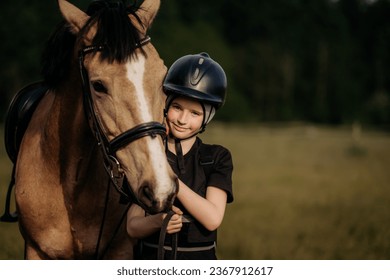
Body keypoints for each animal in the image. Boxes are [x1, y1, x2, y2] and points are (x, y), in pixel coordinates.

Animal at [11, 0, 178, 260]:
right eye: (98, 86)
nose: (160, 189)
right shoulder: (36, 251)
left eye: (162, 78)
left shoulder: (119, 250)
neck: (72, 186)